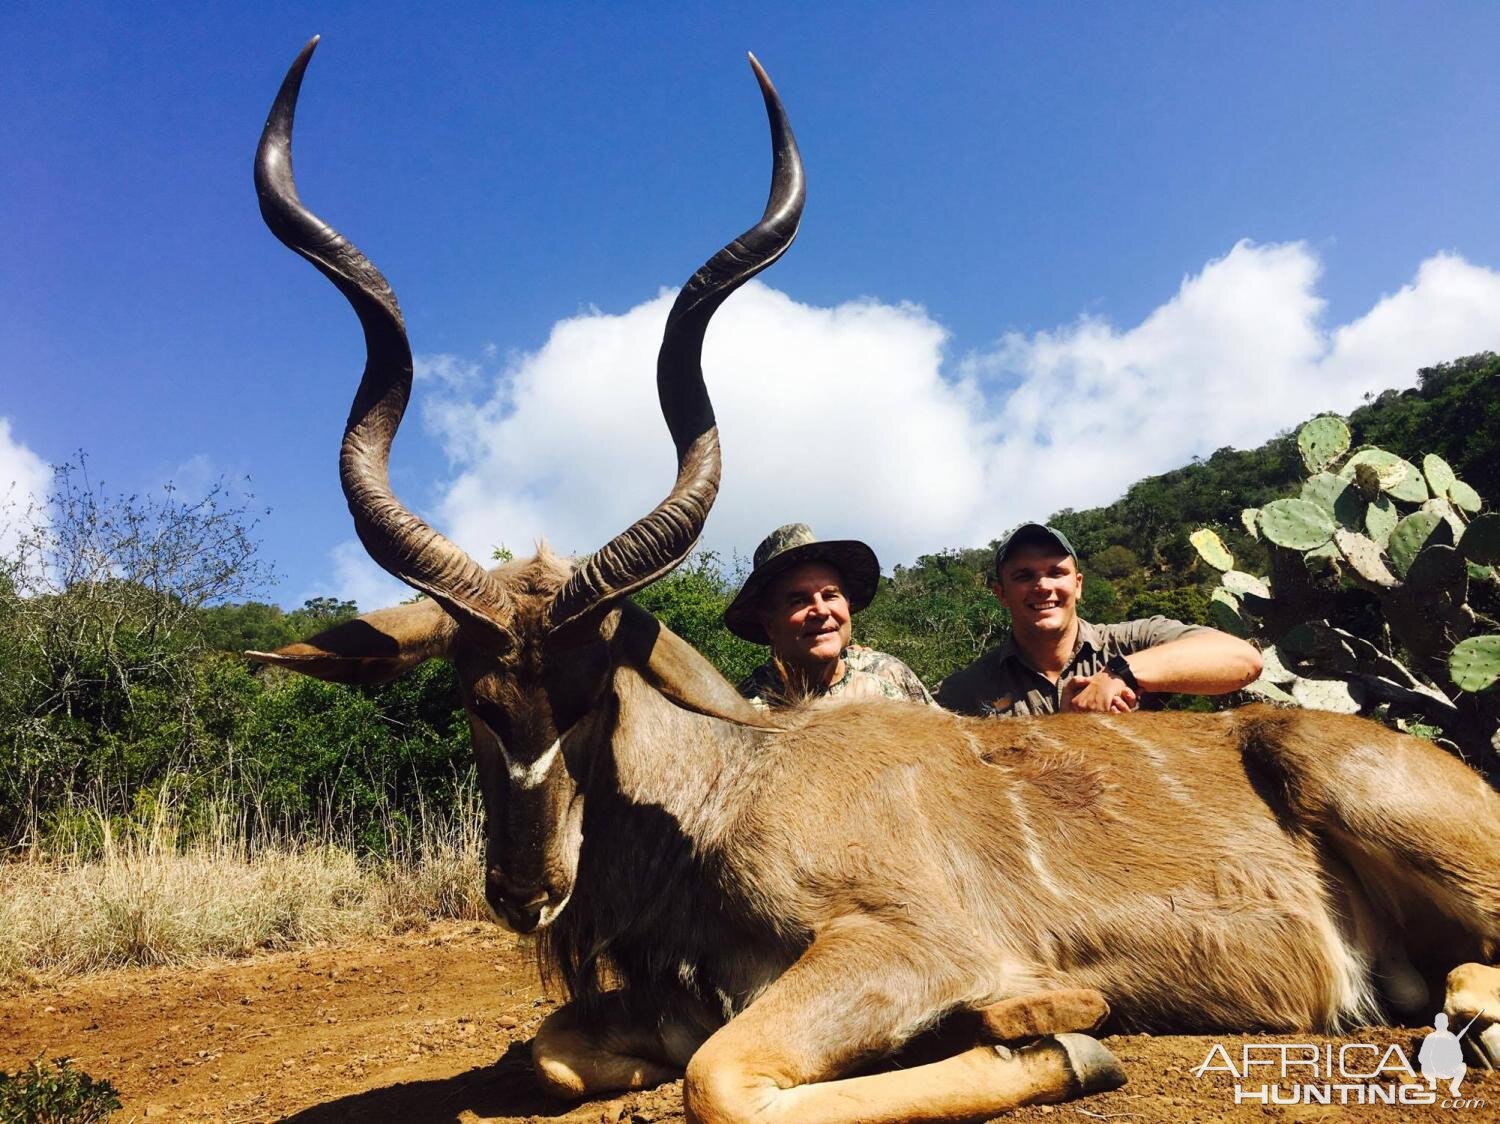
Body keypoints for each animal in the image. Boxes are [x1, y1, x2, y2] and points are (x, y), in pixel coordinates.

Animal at [255, 39, 1500, 1116]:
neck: (727, 789)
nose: (524, 889)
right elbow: (560, 1052)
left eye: (592, 693)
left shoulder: (904, 942)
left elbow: (720, 1080)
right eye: (475, 697)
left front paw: (1062, 1028)